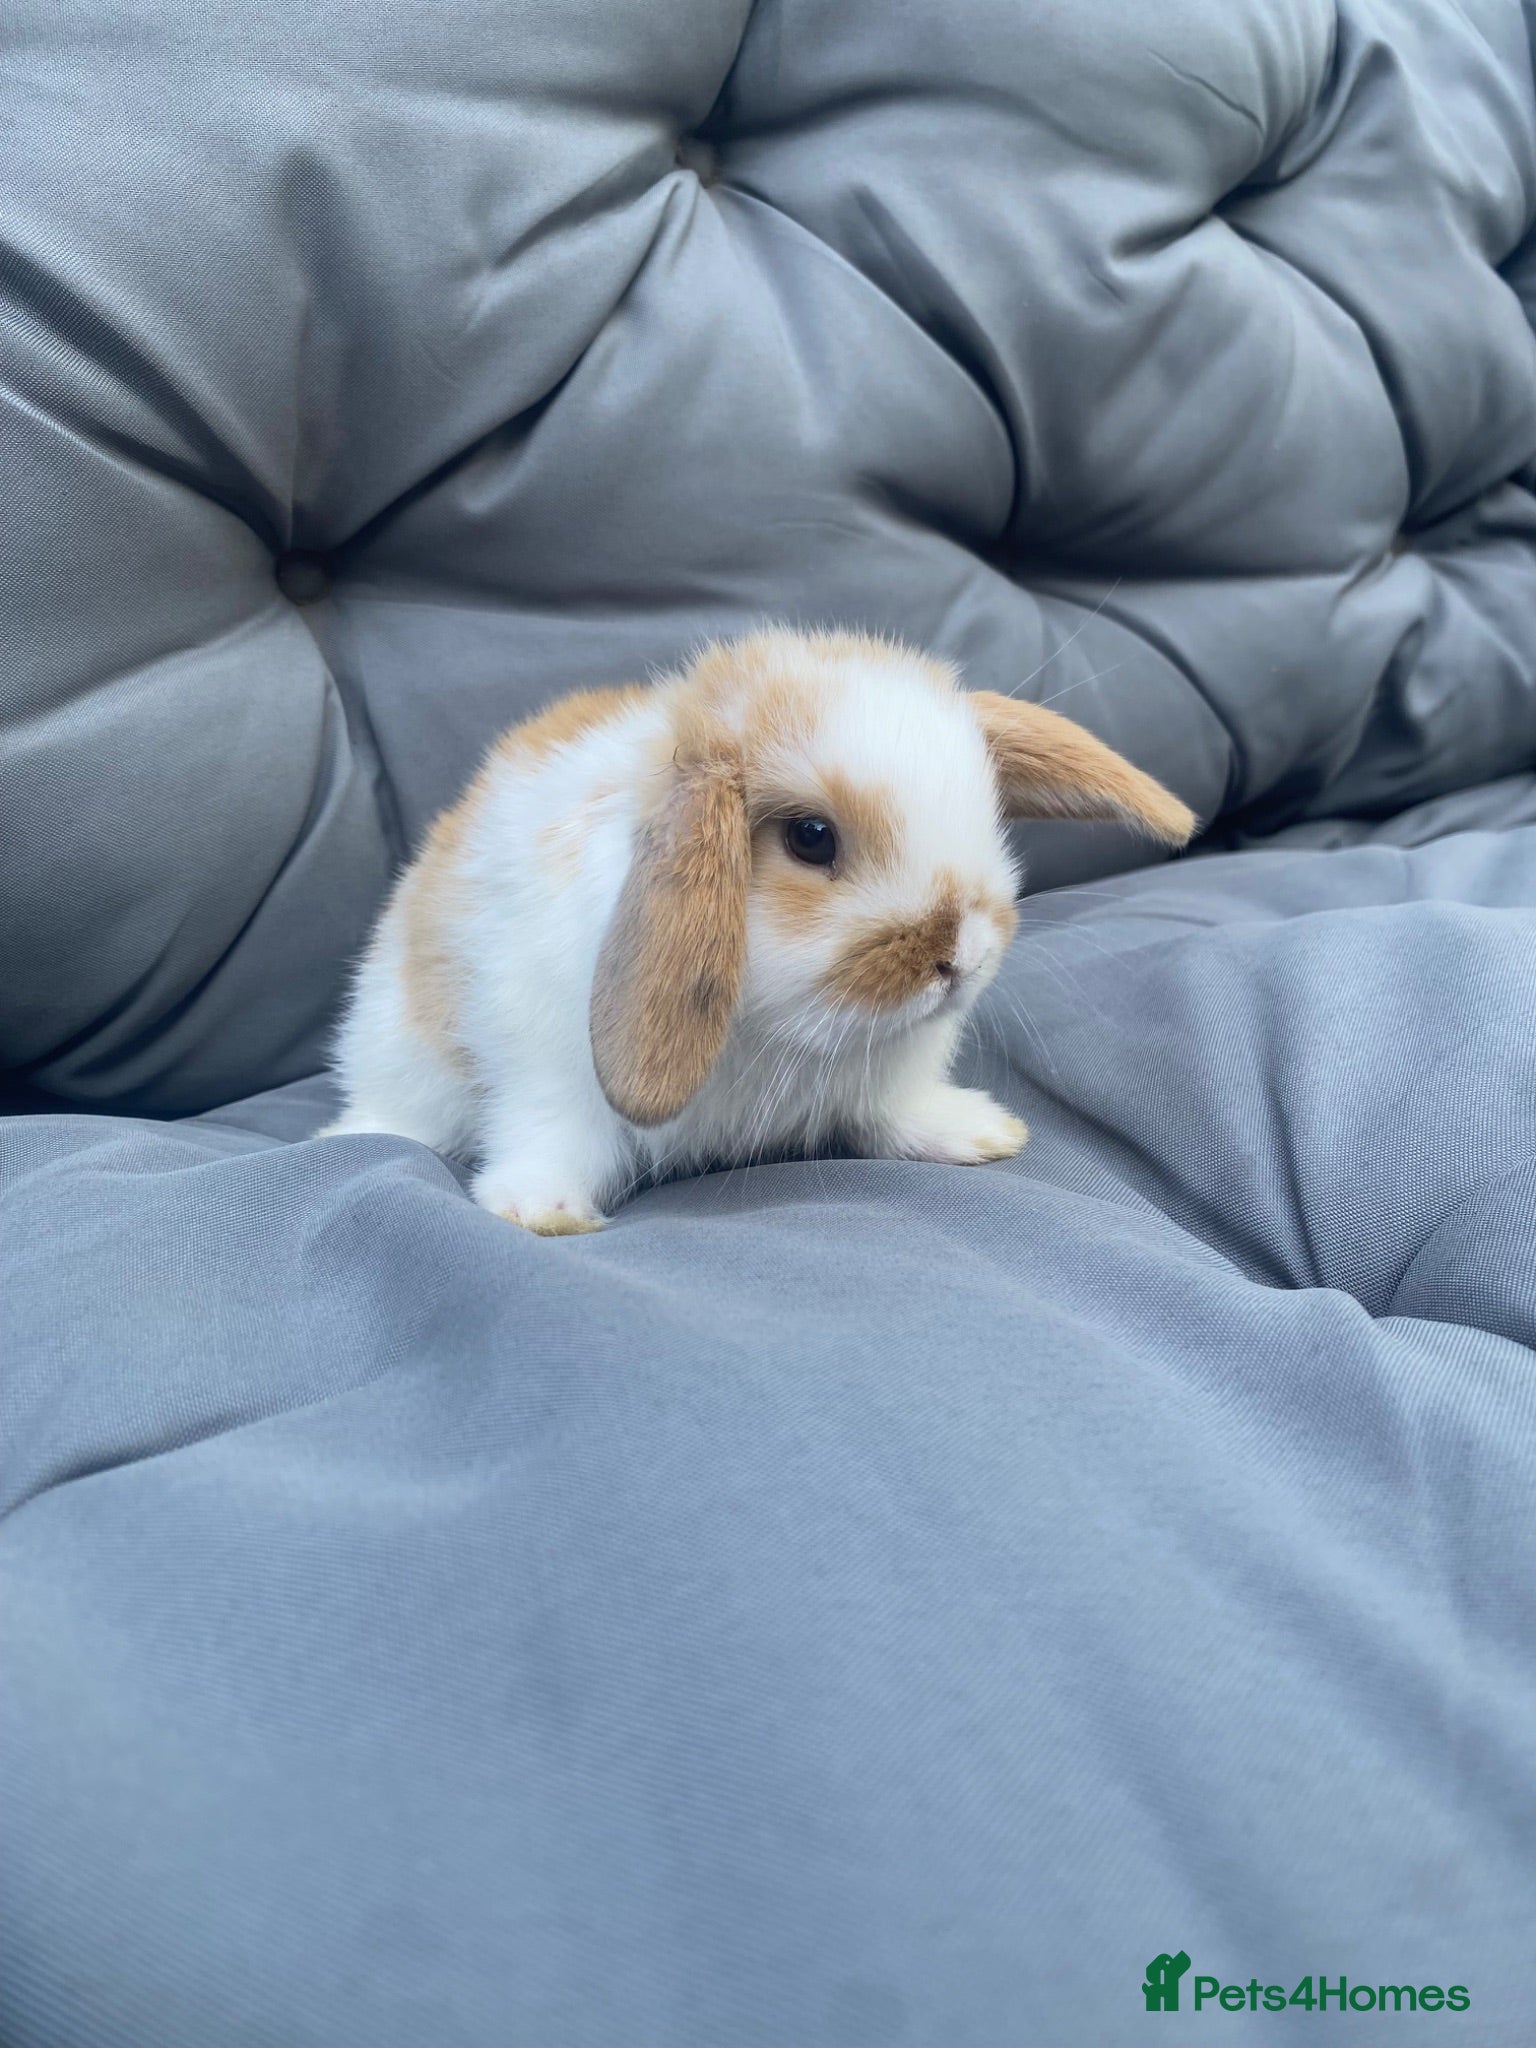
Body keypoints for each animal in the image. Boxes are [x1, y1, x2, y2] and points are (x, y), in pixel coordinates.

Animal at [320, 628, 1195, 1233]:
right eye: (811, 838)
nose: (963, 957)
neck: (777, 1031)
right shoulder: (548, 1065)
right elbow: (552, 1133)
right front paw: (542, 1212)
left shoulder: (886, 1077)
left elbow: (894, 1112)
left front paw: (980, 1134)